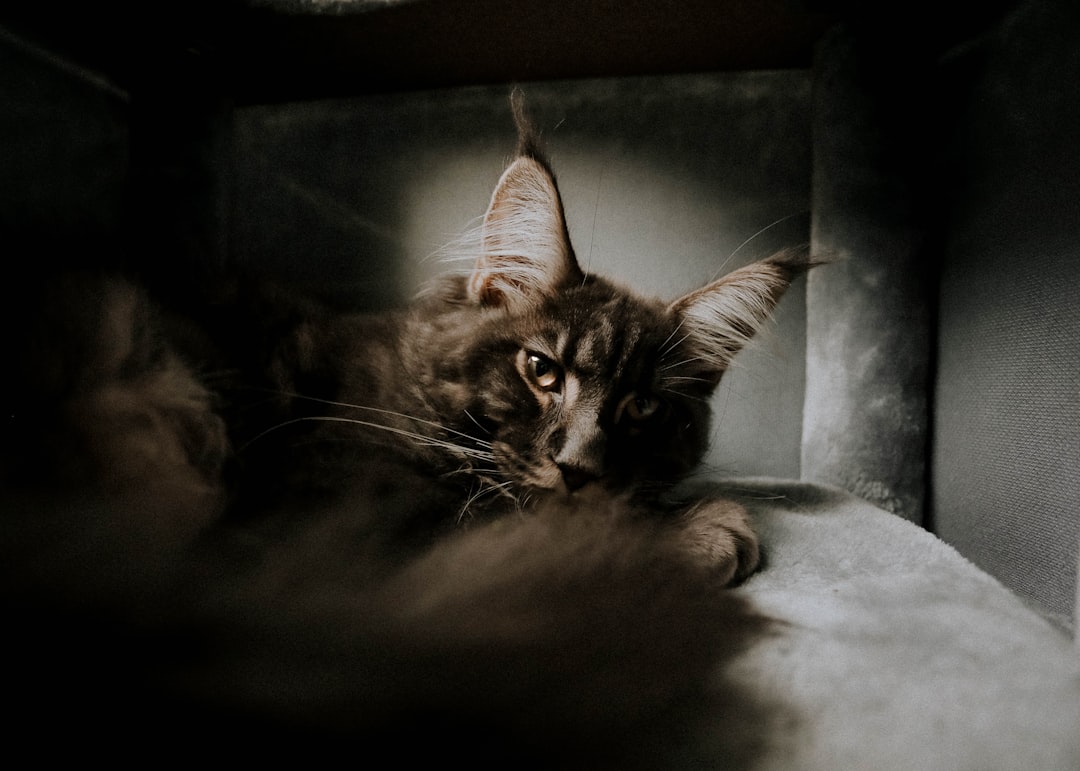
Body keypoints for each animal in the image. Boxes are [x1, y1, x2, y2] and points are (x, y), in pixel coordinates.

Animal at [0, 97, 812, 764]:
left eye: (643, 409)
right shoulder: (330, 501)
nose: (580, 464)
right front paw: (704, 527)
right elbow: (527, 523)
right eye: (542, 370)